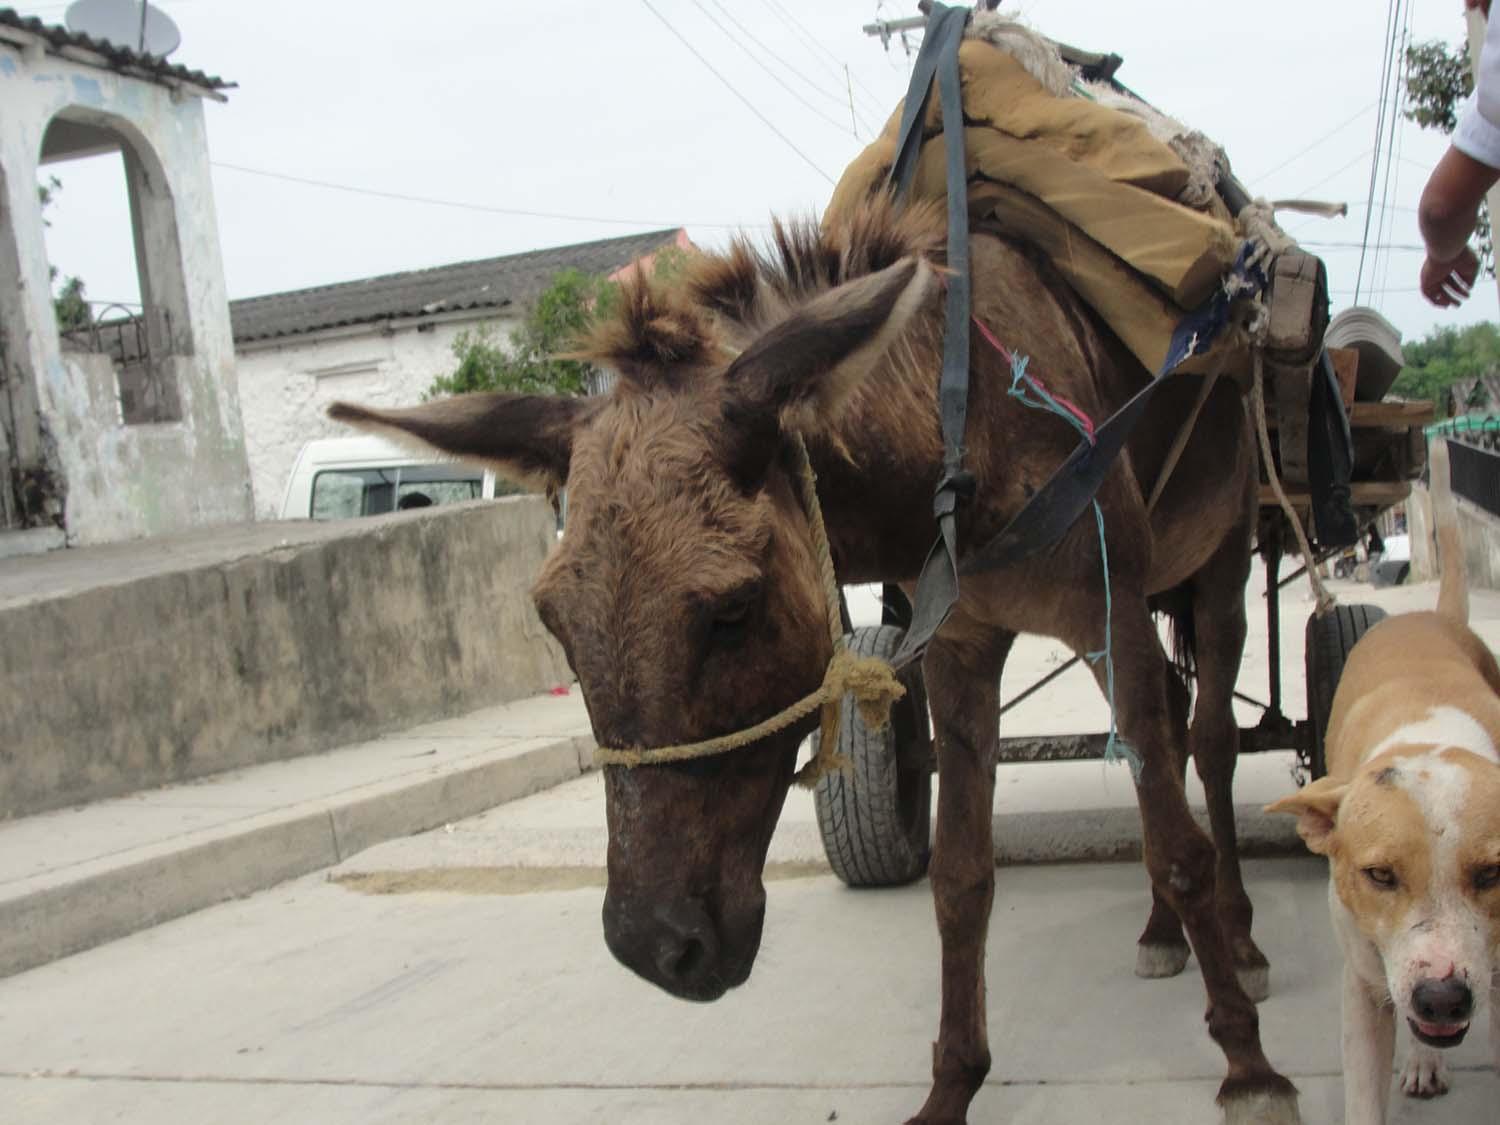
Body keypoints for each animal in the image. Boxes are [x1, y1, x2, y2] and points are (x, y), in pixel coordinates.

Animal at [1266, 444, 1500, 1125]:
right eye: (1378, 876)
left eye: (1492, 873)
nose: (1442, 999)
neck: (1428, 739)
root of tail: (1426, 614)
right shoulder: (1366, 984)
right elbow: (1365, 1088)